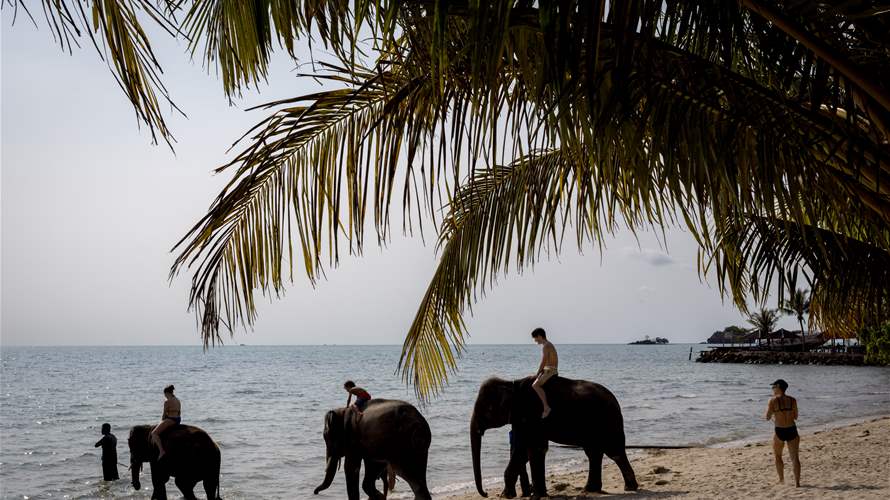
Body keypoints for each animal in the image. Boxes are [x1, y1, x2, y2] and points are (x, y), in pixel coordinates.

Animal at [468, 376, 636, 498]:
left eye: (487, 410)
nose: (486, 493)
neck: (512, 383)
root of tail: (615, 400)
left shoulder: (532, 416)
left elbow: (528, 448)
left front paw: (511, 496)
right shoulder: (525, 420)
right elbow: (531, 449)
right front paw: (535, 495)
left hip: (608, 422)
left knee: (614, 451)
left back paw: (629, 487)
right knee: (593, 453)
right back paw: (590, 490)